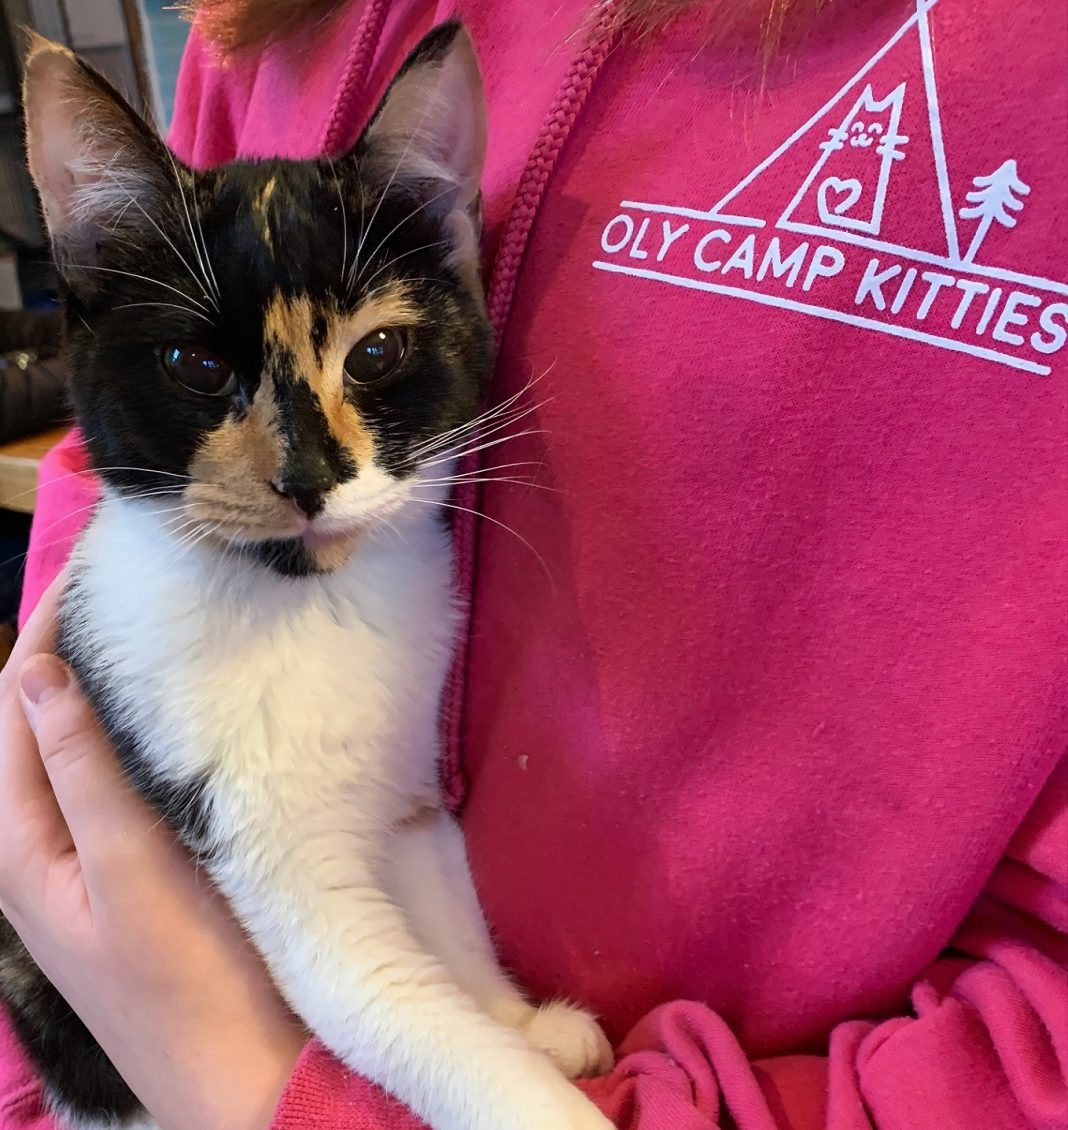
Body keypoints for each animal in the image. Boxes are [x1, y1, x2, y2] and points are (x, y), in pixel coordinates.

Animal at [0, 19, 614, 1130]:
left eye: (376, 352)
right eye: (196, 366)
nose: (308, 477)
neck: (303, 592)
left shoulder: (409, 785)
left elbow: (443, 901)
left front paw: (520, 1018)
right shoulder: (245, 827)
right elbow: (387, 996)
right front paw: (526, 1081)